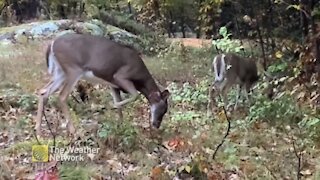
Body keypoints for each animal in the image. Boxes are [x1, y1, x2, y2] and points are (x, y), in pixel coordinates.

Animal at [34, 33, 170, 136]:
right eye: (163, 109)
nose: (156, 125)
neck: (140, 79)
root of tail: (52, 43)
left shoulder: (113, 85)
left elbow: (120, 106)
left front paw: (121, 126)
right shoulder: (120, 77)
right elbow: (135, 95)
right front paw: (110, 106)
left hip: (60, 72)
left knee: (43, 91)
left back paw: (39, 132)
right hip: (73, 69)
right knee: (61, 96)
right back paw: (73, 131)